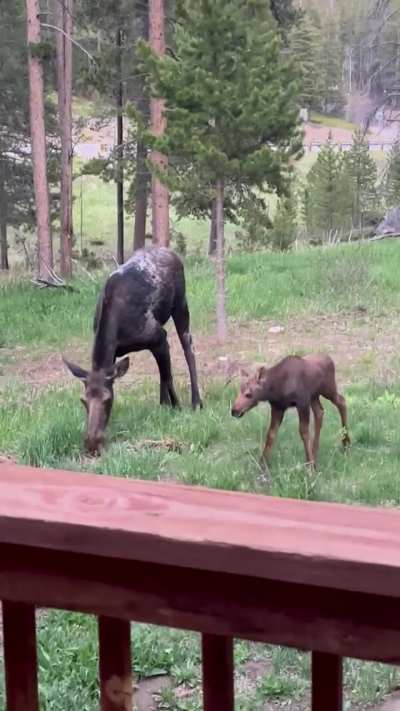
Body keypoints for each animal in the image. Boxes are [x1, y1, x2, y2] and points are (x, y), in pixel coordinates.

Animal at [63, 247, 202, 455]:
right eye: (83, 400)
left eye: (107, 399)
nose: (92, 444)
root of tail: (172, 253)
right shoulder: (121, 351)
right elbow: (164, 373)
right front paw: (166, 405)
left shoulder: (159, 336)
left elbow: (168, 377)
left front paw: (176, 407)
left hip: (181, 304)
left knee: (189, 349)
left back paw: (196, 402)